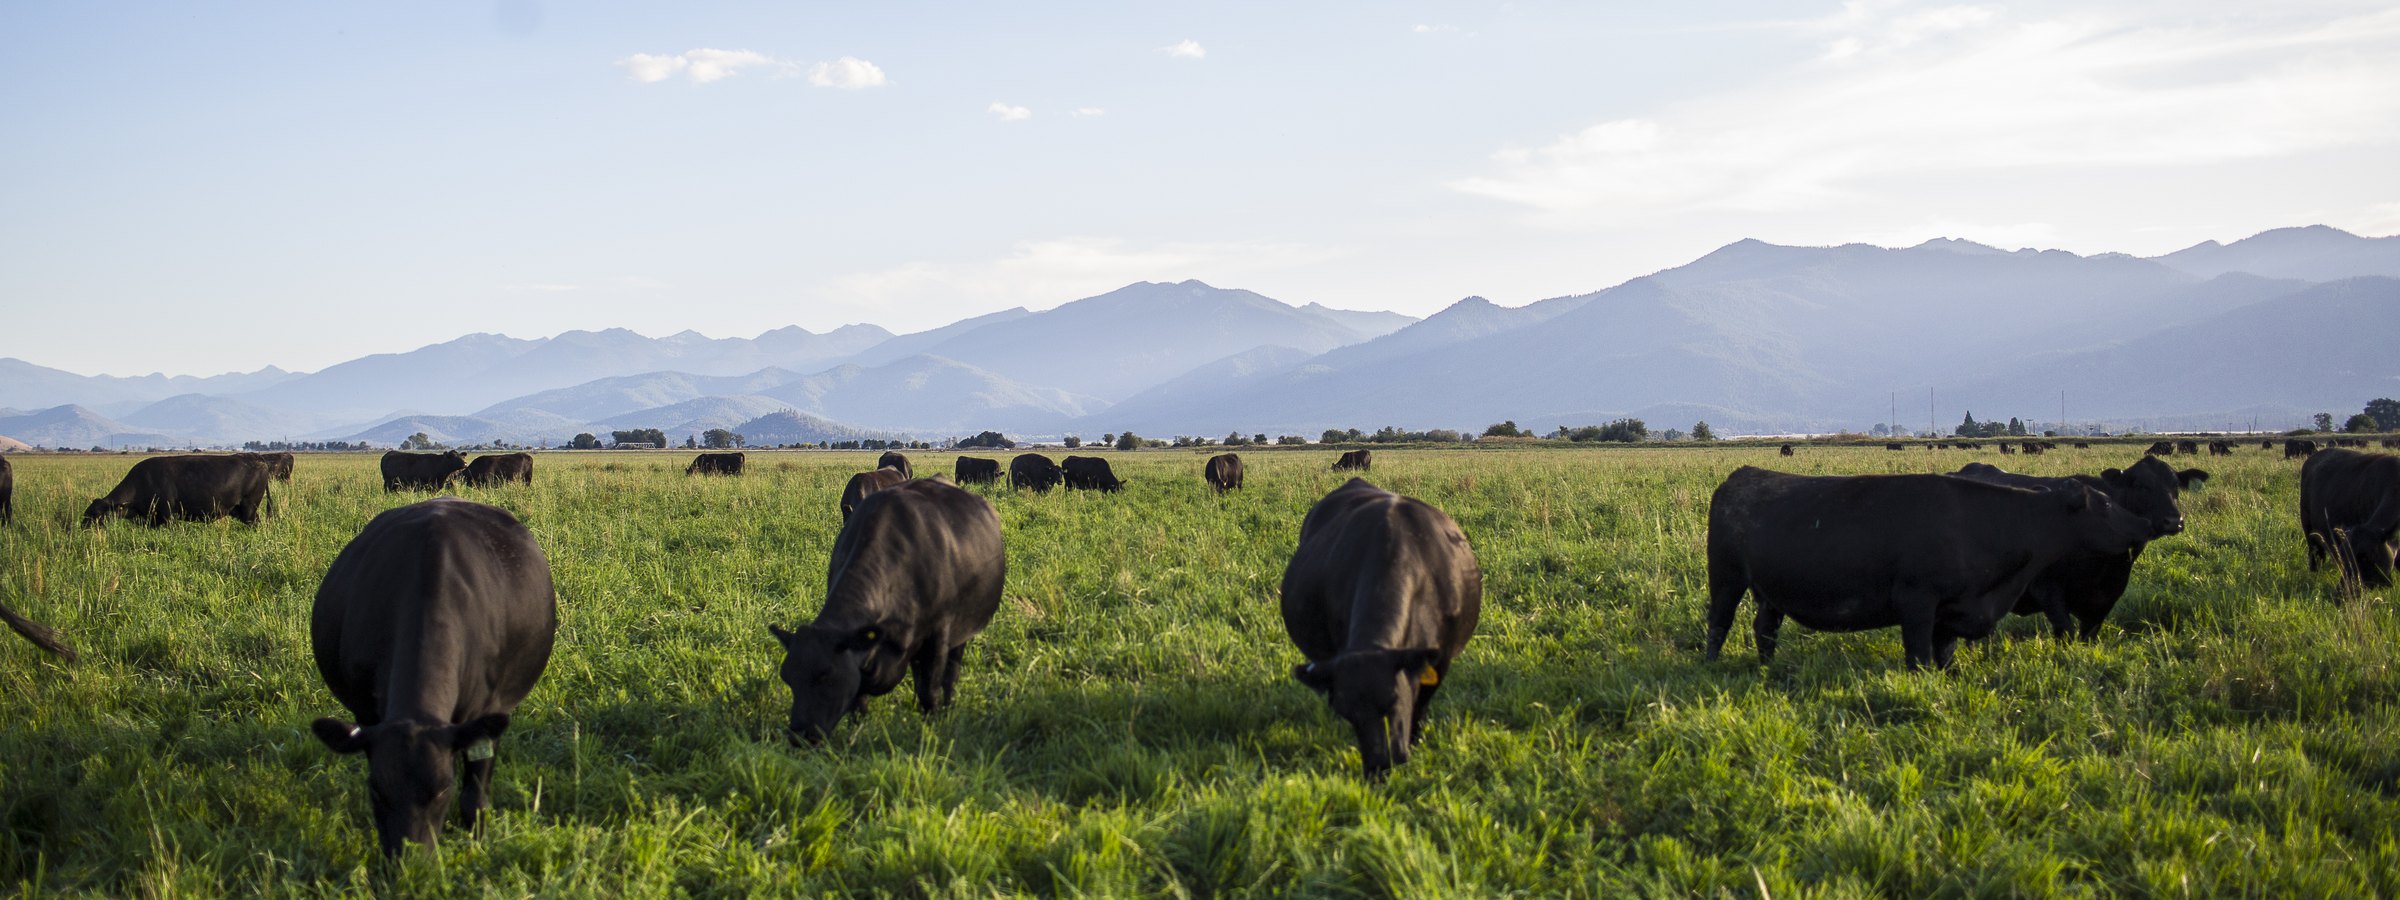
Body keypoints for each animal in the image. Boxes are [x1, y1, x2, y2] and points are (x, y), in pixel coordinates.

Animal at [309, 498, 557, 856]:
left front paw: (477, 848)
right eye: (377, 790)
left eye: (442, 789)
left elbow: (475, 797)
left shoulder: (487, 713)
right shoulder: (366, 714)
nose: (410, 860)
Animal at [769, 479, 1005, 745]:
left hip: (961, 633)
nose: (799, 736)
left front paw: (931, 731)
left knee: (950, 675)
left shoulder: (937, 637)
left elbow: (930, 691)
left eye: (826, 675)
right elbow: (859, 704)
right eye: (787, 677)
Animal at [1703, 466, 2154, 669]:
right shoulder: (1917, 602)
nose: (2149, 523)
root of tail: (1743, 475)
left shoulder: (1952, 611)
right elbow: (1919, 655)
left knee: (1764, 627)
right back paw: (1711, 666)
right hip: (1726, 579)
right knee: (1719, 623)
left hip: (1769, 592)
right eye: (2106, 503)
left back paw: (1768, 668)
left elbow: (1945, 656)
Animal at [1953, 458, 2208, 640]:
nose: (2174, 521)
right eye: (2142, 485)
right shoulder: (2047, 591)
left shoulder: (2104, 602)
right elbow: (2066, 632)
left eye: (2175, 485)